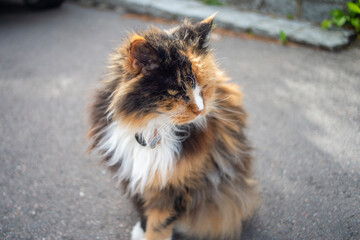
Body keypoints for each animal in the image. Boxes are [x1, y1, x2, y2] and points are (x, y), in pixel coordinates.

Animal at [88, 14, 260, 240]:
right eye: (177, 92)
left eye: (203, 88)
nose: (200, 110)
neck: (150, 130)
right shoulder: (134, 175)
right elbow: (144, 211)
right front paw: (141, 230)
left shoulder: (176, 185)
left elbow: (159, 226)